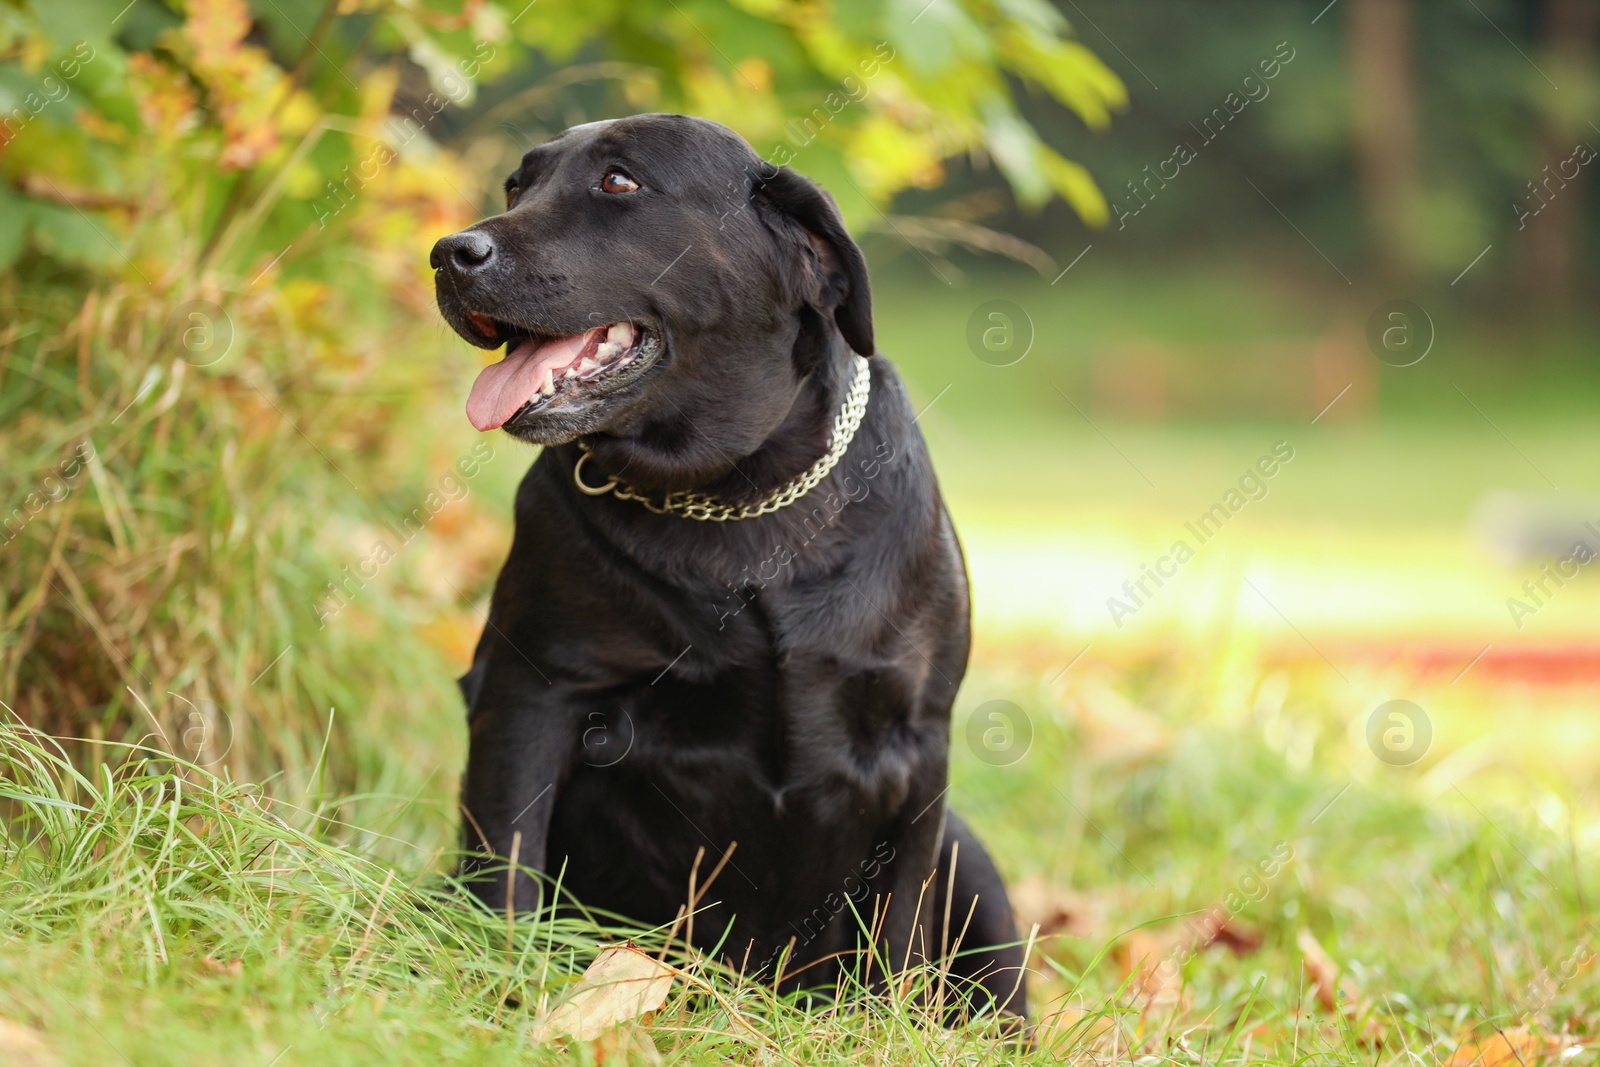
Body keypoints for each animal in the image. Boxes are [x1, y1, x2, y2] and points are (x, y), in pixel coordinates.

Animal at [432, 115, 1024, 1017]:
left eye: (619, 181)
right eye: (516, 186)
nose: (447, 252)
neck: (737, 494)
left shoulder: (918, 739)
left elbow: (897, 929)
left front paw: (884, 1026)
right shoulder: (531, 688)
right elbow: (507, 864)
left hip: (977, 867)